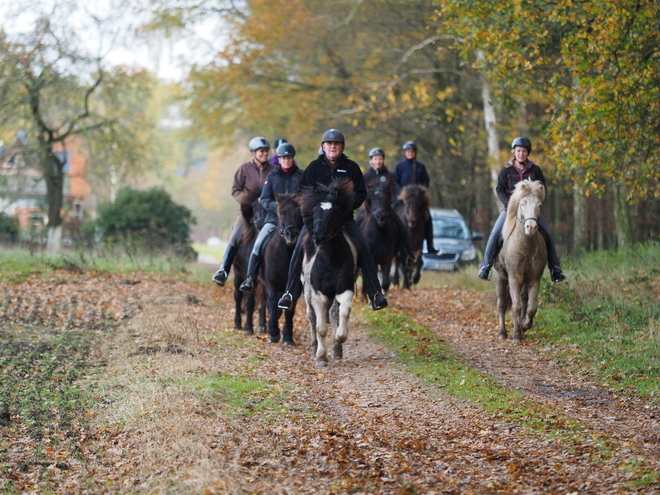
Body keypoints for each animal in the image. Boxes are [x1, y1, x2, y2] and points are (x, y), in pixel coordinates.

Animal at [302, 178, 358, 368]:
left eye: (334, 212)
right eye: (314, 210)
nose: (319, 238)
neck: (330, 259)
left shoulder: (345, 289)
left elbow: (344, 311)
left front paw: (340, 336)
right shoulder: (318, 295)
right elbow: (320, 328)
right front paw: (320, 357)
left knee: (334, 313)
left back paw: (336, 349)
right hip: (307, 292)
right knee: (311, 318)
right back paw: (314, 350)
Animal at [496, 179, 548, 344]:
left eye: (539, 205)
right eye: (522, 203)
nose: (531, 227)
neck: (526, 246)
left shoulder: (534, 278)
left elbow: (532, 307)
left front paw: (525, 325)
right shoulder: (514, 277)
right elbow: (516, 306)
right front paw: (517, 335)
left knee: (524, 299)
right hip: (500, 277)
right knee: (502, 304)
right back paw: (502, 333)